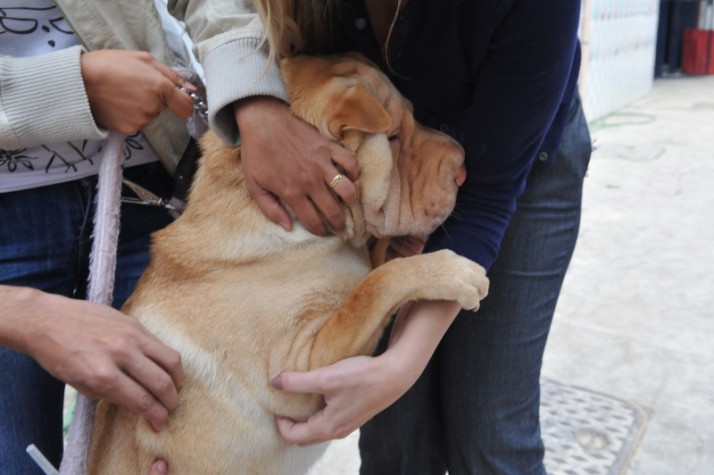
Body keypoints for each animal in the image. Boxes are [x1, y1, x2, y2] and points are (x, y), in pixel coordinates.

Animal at [86, 54, 486, 472]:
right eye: (393, 138)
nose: (464, 167)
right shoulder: (301, 367)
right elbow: (374, 287)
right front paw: (451, 271)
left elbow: (374, 272)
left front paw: (404, 248)